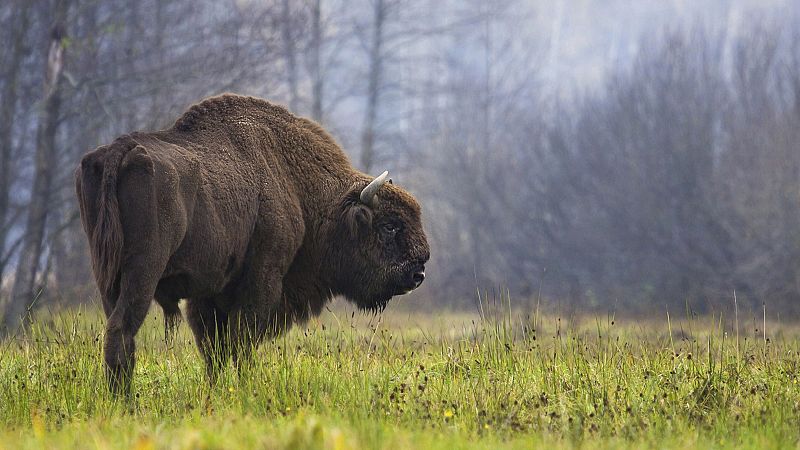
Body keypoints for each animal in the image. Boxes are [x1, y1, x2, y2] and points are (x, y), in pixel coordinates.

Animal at [75, 95, 428, 394]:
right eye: (389, 225)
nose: (418, 272)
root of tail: (119, 150)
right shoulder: (261, 280)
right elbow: (241, 343)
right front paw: (246, 389)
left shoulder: (208, 295)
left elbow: (215, 350)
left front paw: (216, 392)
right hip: (143, 271)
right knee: (122, 330)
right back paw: (126, 402)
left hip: (107, 276)